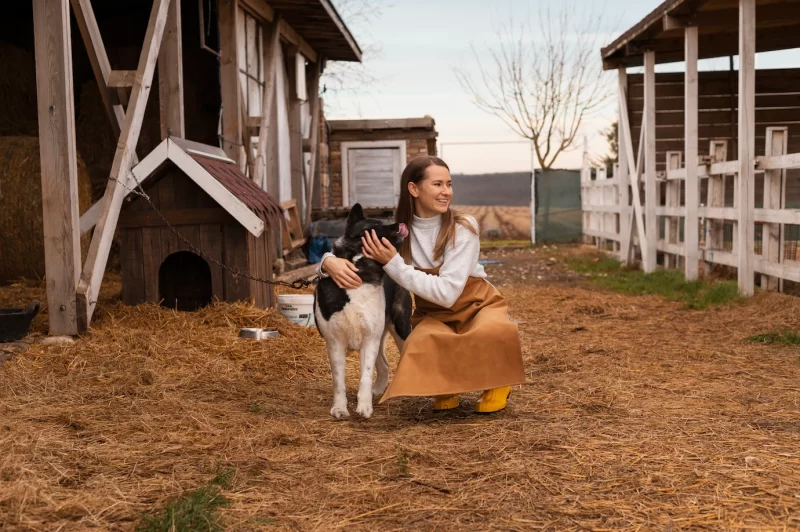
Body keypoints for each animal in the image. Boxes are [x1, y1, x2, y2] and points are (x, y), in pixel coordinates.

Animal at [314, 206, 412, 418]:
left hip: (400, 328)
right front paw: (340, 408)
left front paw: (365, 407)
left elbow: (365, 376)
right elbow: (338, 380)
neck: (360, 270)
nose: (398, 223)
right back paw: (379, 389)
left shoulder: (369, 340)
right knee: (384, 365)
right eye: (375, 225)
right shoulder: (335, 343)